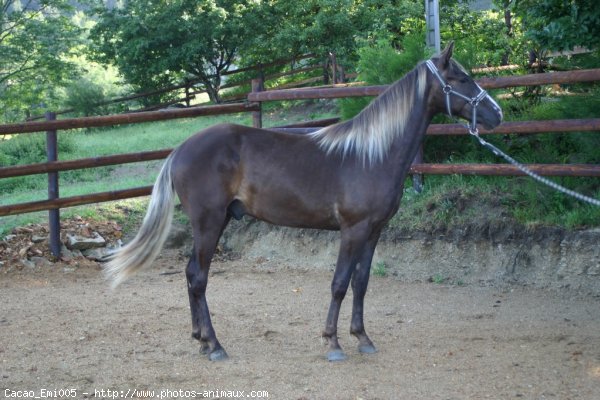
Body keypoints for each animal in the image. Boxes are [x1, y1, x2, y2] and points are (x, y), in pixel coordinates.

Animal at [105, 43, 504, 362]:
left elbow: (362, 283)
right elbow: (340, 283)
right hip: (209, 222)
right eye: (462, 79)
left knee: (191, 275)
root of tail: (181, 150)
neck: (371, 154)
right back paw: (215, 346)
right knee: (198, 277)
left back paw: (201, 341)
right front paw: (333, 343)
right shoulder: (352, 230)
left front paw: (363, 338)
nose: (497, 114)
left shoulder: (374, 231)